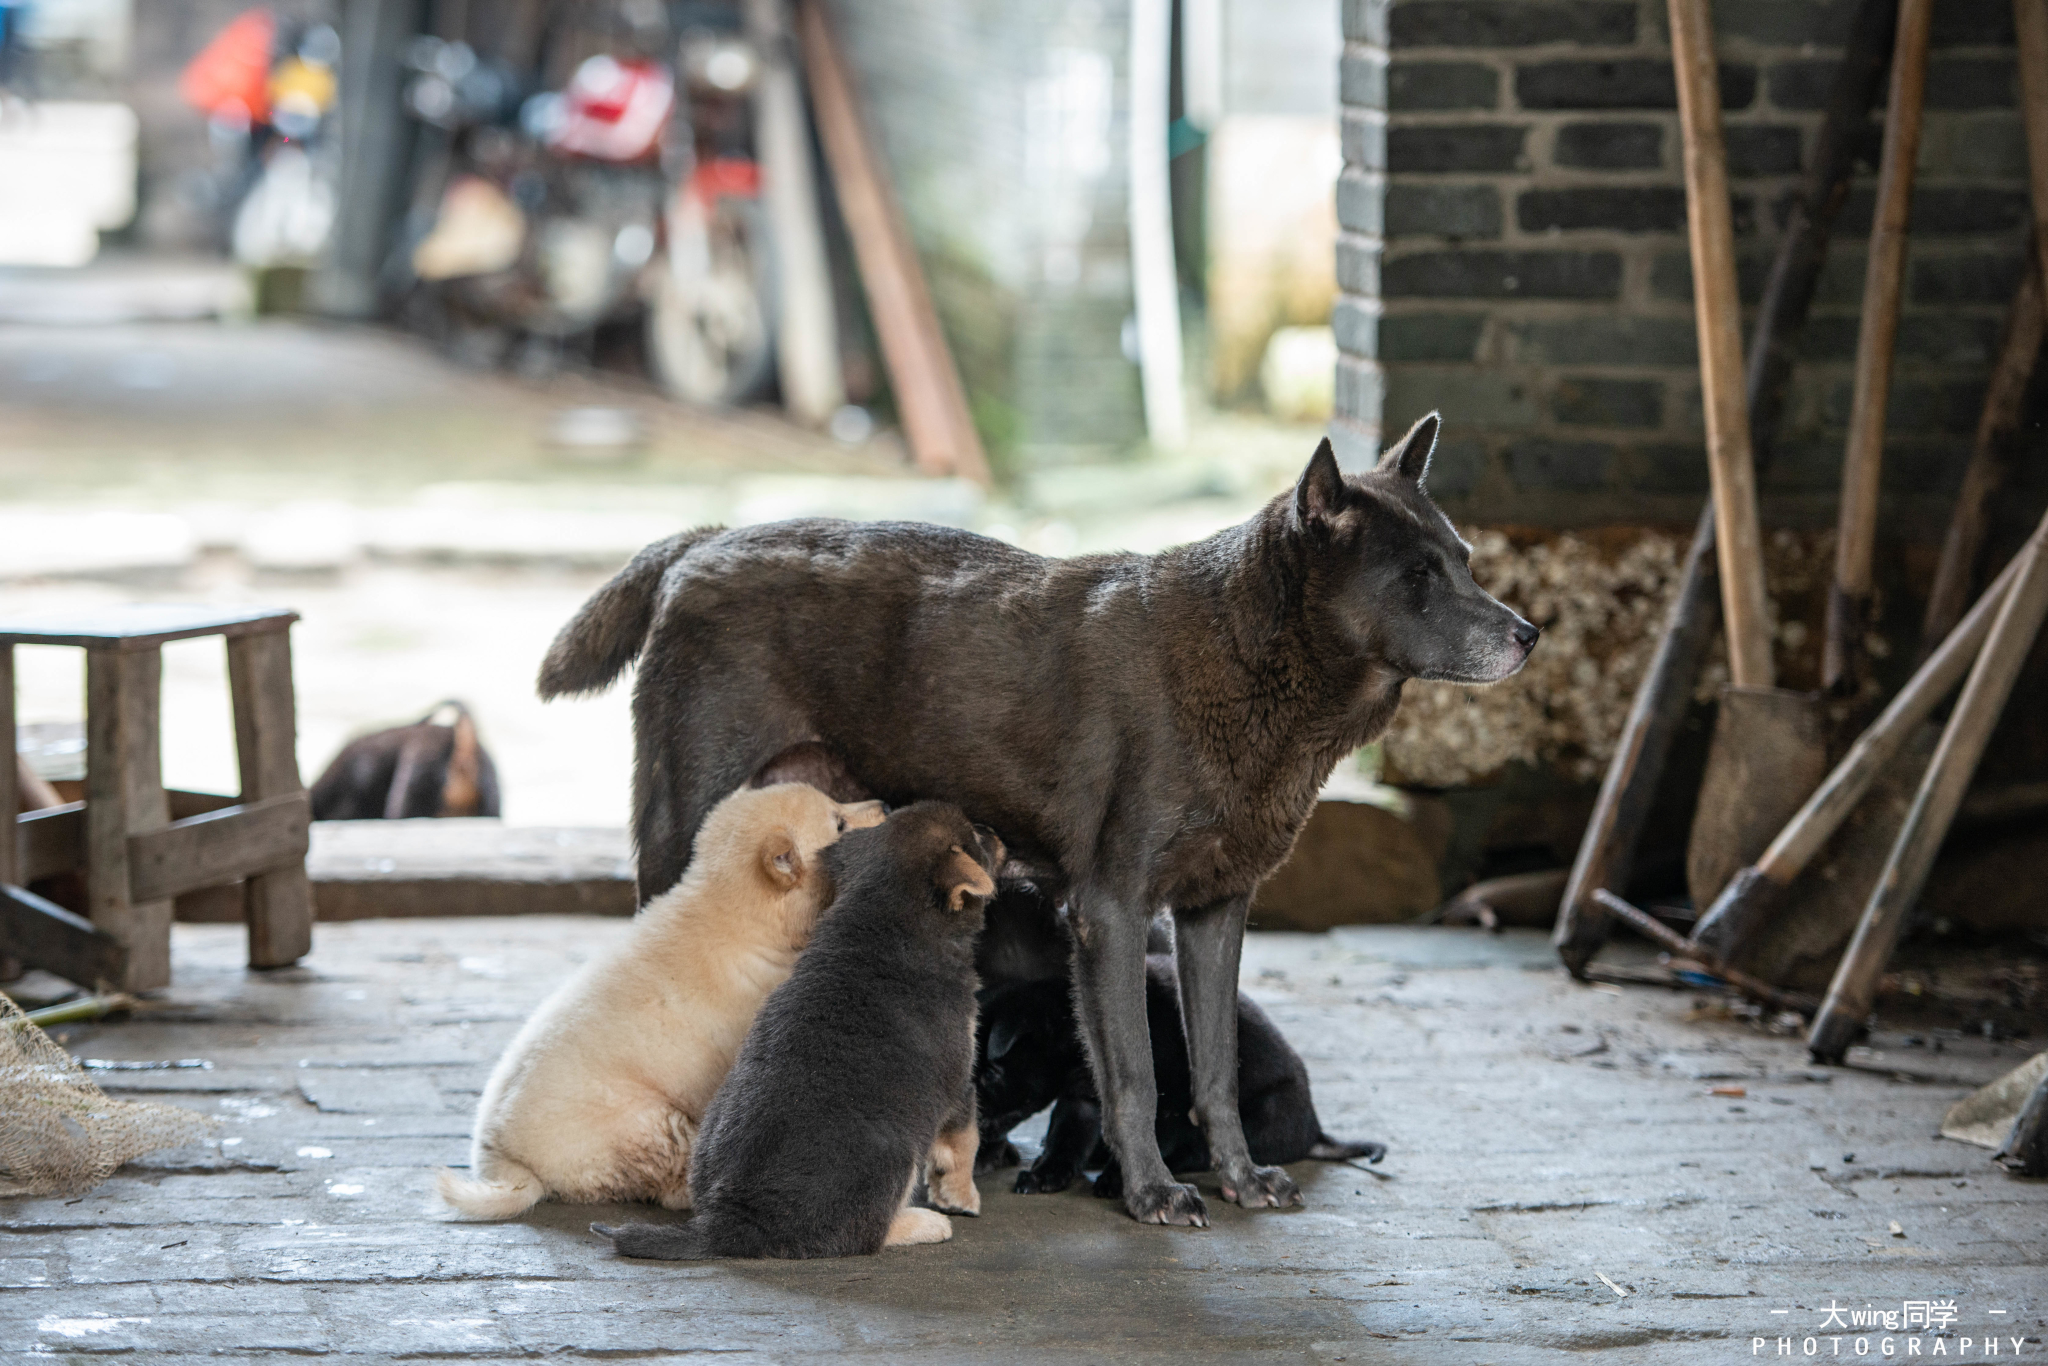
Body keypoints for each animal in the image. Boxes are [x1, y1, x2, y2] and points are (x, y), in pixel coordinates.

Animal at [593, 806, 999, 1269]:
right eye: (976, 840)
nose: (995, 830)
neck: (884, 919)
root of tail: (728, 1221)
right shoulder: (959, 1081)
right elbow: (965, 1141)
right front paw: (963, 1197)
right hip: (893, 1155)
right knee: (861, 1235)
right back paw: (922, 1224)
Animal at [974, 962, 1392, 1196]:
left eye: (992, 1074)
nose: (969, 1127)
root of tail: (1315, 1131)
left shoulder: (1169, 1099)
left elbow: (1156, 1137)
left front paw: (1122, 1179)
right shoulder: (1080, 1098)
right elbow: (1066, 1136)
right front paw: (1047, 1173)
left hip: (1258, 1114)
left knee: (1200, 1152)